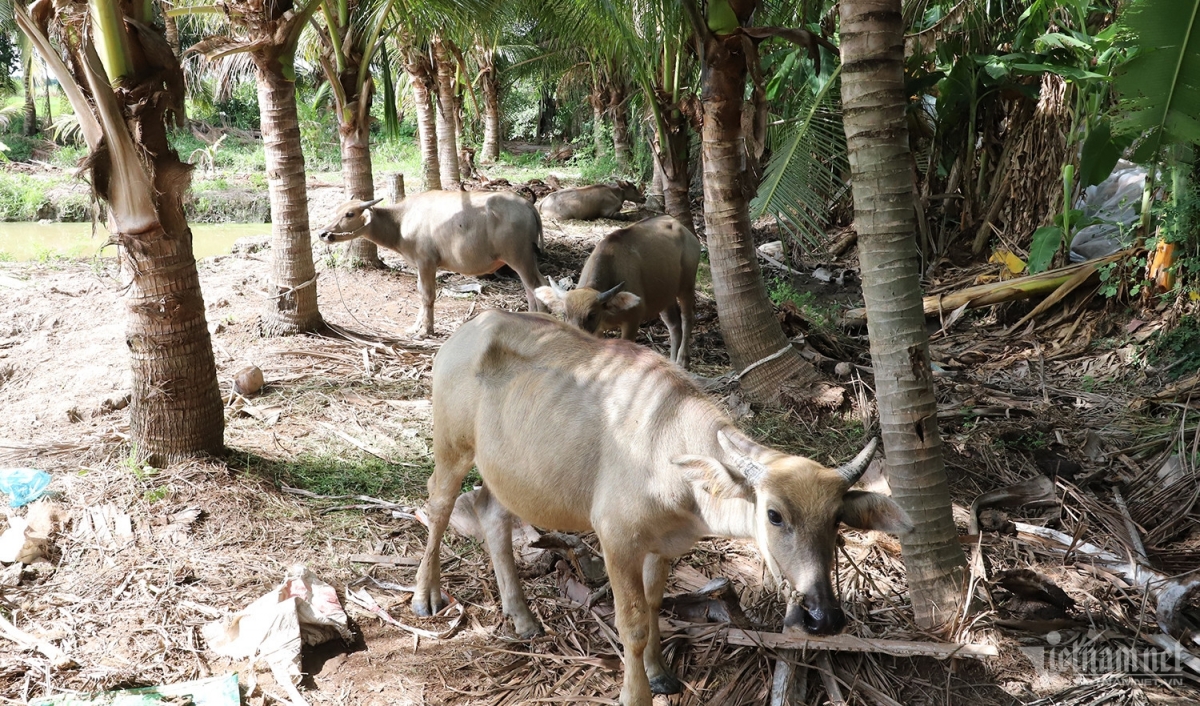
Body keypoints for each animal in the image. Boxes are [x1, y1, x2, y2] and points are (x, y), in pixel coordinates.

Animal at [316, 192, 547, 338]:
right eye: (337, 211)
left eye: (349, 214)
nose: (323, 233)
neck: (401, 222)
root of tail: (527, 204)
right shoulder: (419, 265)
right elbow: (420, 293)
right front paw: (415, 327)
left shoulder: (426, 262)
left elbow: (428, 295)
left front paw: (426, 331)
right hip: (524, 259)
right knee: (533, 287)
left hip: (520, 257)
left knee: (537, 285)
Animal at [412, 312, 907, 706]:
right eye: (774, 515)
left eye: (837, 520)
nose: (825, 616)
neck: (670, 459)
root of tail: (469, 329)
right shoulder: (617, 541)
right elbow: (631, 623)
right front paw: (636, 694)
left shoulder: (663, 545)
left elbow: (653, 605)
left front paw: (659, 672)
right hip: (452, 447)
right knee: (438, 503)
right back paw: (425, 595)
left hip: (507, 472)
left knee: (492, 513)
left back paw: (522, 616)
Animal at [537, 214, 700, 369]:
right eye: (564, 314)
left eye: (591, 315)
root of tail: (685, 231)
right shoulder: (598, 329)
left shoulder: (633, 321)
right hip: (665, 296)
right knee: (674, 325)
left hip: (687, 286)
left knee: (687, 318)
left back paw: (682, 359)